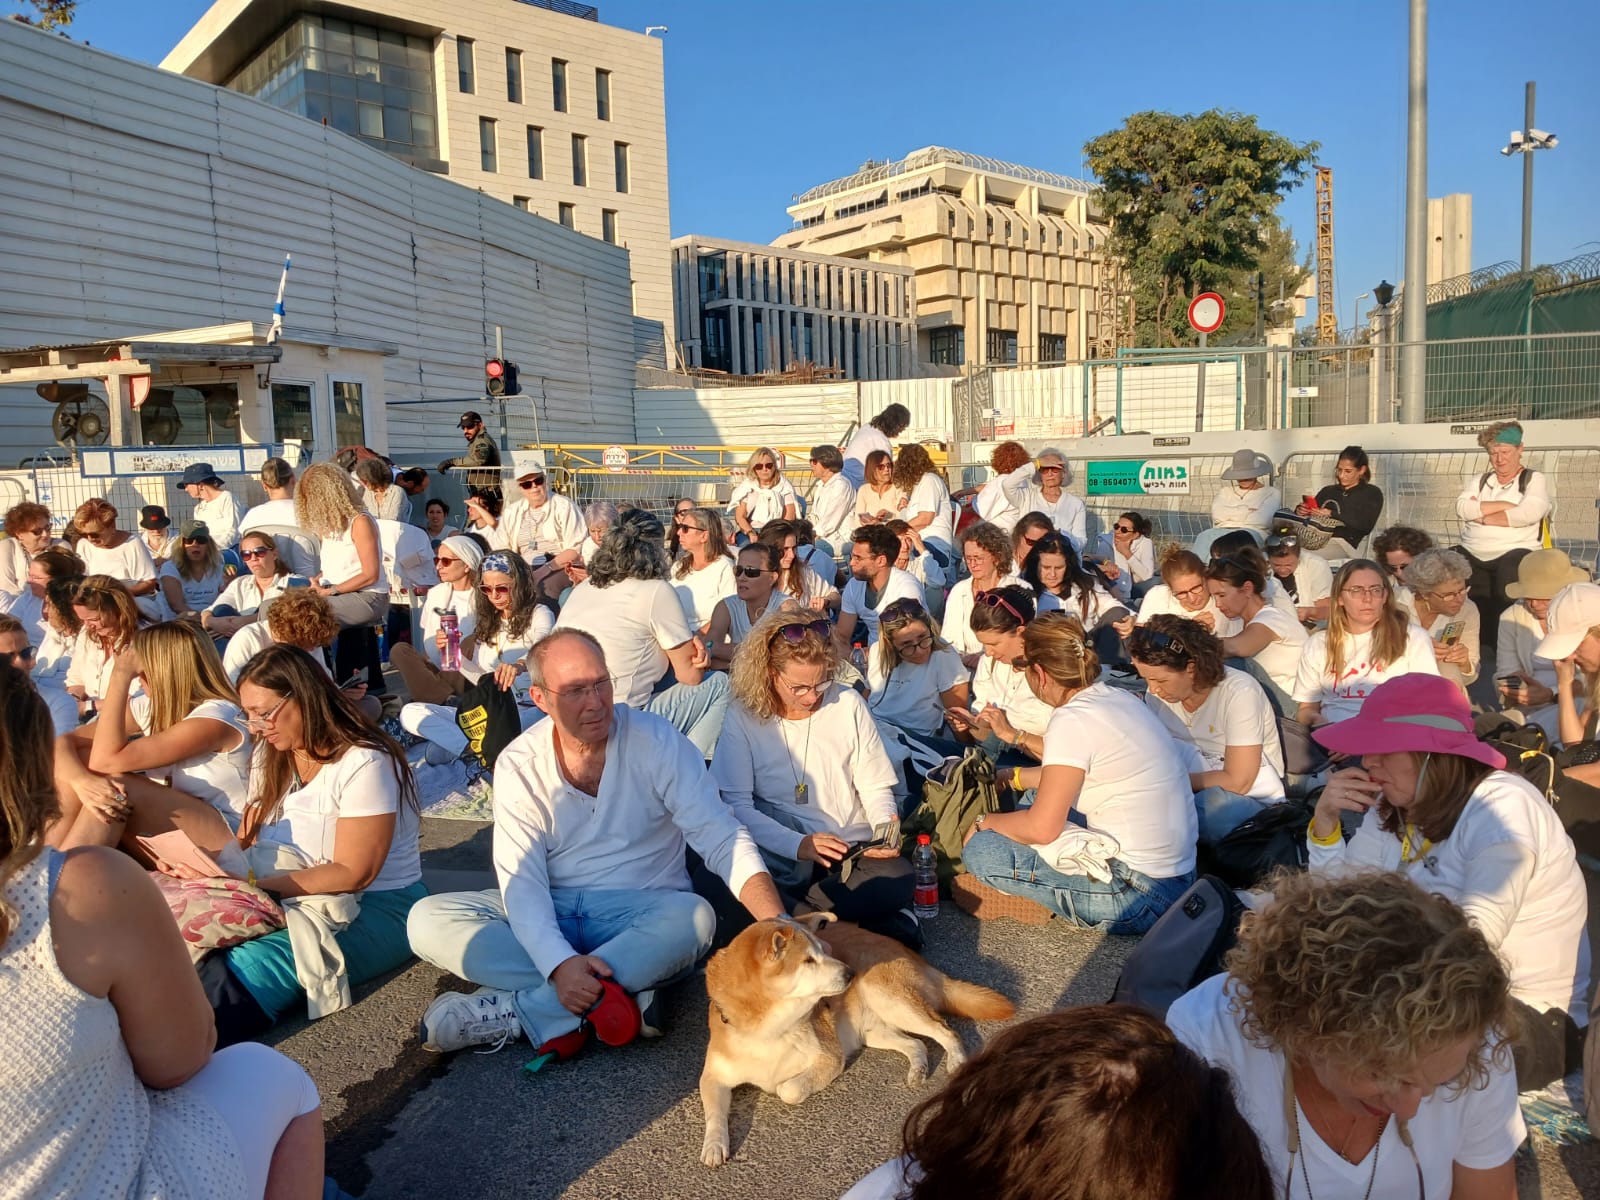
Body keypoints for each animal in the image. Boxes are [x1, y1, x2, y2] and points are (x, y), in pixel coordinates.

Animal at [694, 921, 1004, 1164]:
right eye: (809, 960)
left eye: (823, 950)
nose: (850, 973)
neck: (769, 1028)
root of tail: (906, 949)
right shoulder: (713, 1077)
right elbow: (714, 1114)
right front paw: (714, 1145)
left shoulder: (830, 1057)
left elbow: (788, 1089)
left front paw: (782, 1085)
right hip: (874, 1030)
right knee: (917, 1045)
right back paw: (918, 1069)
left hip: (890, 1000)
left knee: (945, 1031)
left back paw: (957, 1060)